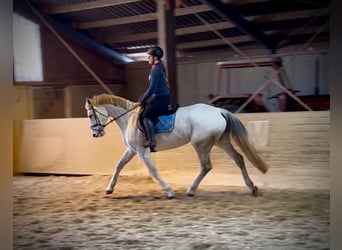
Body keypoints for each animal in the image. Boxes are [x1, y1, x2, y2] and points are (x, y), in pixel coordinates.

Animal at [84, 93, 268, 198]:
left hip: (201, 144)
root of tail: (219, 110)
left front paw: (169, 191)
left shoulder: (142, 151)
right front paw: (109, 189)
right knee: (239, 159)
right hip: (221, 141)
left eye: (90, 115)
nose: (95, 134)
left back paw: (191, 190)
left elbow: (153, 171)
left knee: (206, 166)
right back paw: (252, 187)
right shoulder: (132, 150)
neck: (129, 117)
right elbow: (118, 166)